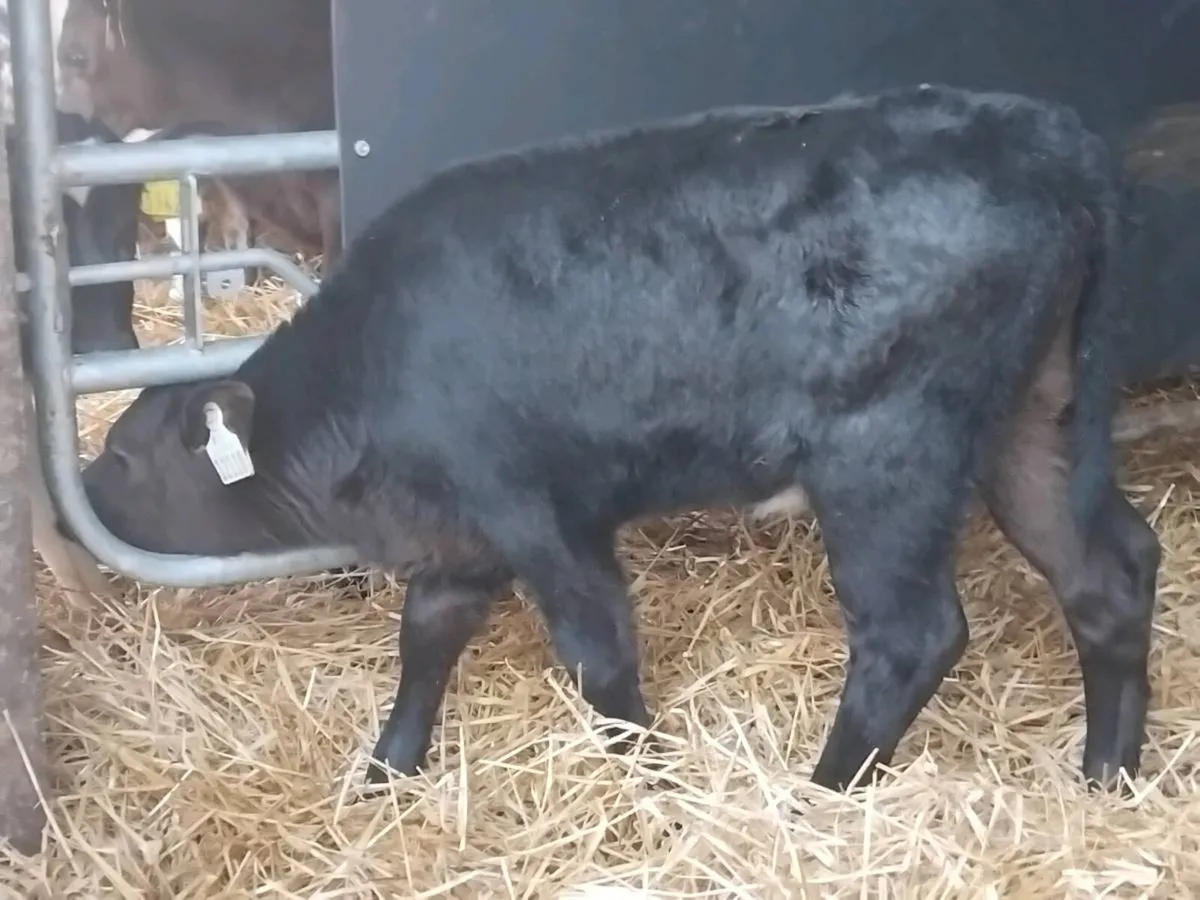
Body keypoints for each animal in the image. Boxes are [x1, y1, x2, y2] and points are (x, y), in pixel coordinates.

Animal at [77, 84, 1160, 794]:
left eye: (127, 454)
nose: (81, 487)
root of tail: (1047, 133)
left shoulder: (545, 514)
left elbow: (598, 654)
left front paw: (652, 782)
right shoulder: (463, 539)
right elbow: (425, 641)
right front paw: (387, 772)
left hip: (887, 454)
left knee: (912, 633)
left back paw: (820, 793)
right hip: (1034, 420)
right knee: (1108, 571)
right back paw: (1107, 774)